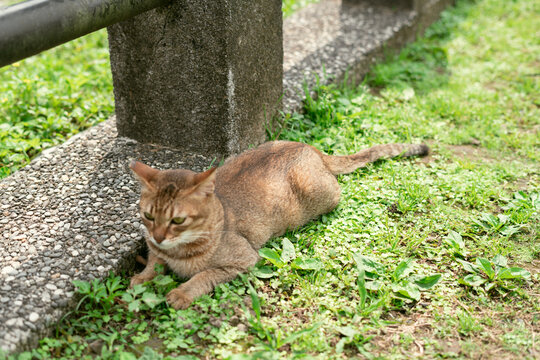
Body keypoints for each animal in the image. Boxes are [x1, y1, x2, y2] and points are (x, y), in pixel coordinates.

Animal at [129, 141, 428, 310]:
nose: (158, 236)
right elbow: (154, 262)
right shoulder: (155, 248)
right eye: (149, 216)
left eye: (178, 220)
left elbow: (203, 276)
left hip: (321, 193)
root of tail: (310, 148)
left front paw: (182, 293)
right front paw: (142, 277)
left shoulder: (244, 260)